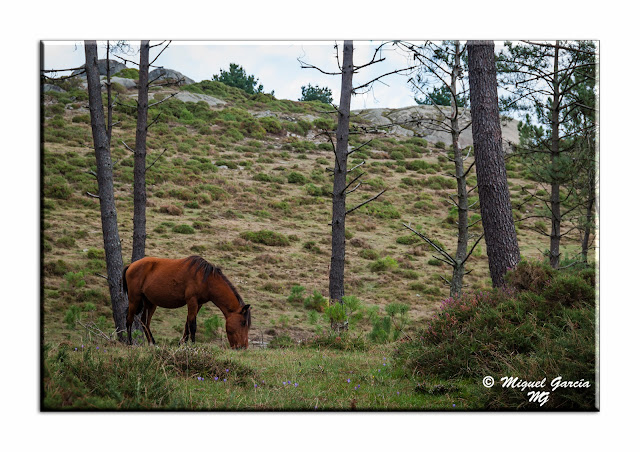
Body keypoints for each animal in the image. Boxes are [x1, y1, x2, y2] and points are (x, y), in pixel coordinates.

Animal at [121, 256, 251, 348]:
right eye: (243, 322)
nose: (243, 347)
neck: (206, 279)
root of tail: (130, 265)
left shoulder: (199, 304)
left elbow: (187, 324)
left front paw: (182, 343)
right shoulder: (192, 301)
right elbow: (192, 325)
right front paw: (193, 345)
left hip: (150, 302)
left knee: (144, 321)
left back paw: (152, 343)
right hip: (134, 299)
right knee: (129, 319)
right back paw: (130, 342)